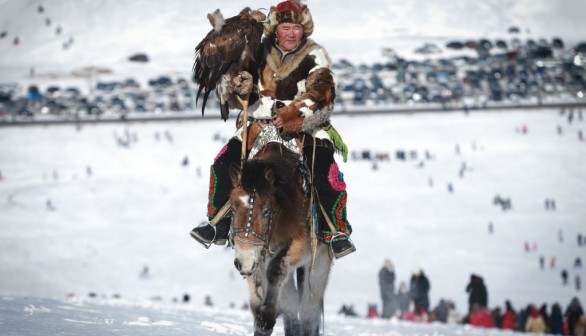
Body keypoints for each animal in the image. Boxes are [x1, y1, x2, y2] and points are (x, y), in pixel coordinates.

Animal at [227, 142, 330, 336]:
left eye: (267, 211)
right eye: (233, 208)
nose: (244, 262)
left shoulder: (296, 246)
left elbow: (275, 270)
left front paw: (266, 318)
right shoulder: (251, 257)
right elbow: (257, 288)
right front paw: (261, 321)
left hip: (319, 264)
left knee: (308, 309)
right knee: (291, 306)